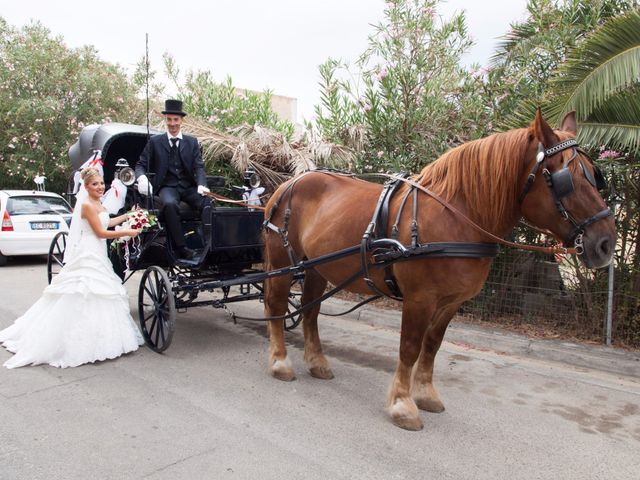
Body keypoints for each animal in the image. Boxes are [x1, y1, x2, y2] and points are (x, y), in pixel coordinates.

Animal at [260, 110, 616, 430]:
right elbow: (410, 346)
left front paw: (426, 395)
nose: (606, 244)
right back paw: (280, 362)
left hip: (317, 267)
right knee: (277, 304)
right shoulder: (420, 298)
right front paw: (403, 405)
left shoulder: (451, 302)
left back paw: (317, 362)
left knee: (310, 311)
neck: (456, 217)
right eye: (566, 180)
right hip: (282, 263)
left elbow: (432, 345)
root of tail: (290, 183)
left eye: (594, 175)